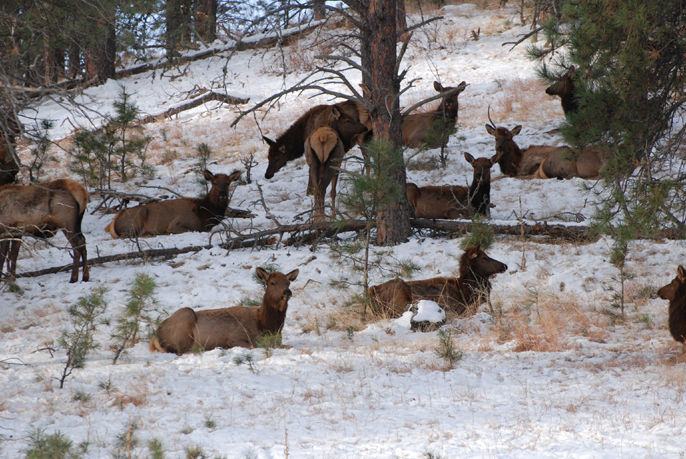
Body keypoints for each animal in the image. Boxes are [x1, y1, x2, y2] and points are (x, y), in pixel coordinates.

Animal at [106, 171, 246, 239]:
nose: (223, 193)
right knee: (126, 235)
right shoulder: (176, 224)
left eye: (228, 183)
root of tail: (113, 221)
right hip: (138, 215)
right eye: (215, 183)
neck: (204, 214)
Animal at [149, 268, 300, 354]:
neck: (266, 326)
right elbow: (254, 347)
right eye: (272, 283)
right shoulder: (235, 337)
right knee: (181, 350)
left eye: (288, 282)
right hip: (186, 316)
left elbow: (288, 346)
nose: (287, 291)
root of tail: (156, 334)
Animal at [370, 246, 510, 318]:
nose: (505, 265)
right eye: (484, 258)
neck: (465, 291)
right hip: (400, 295)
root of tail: (372, 291)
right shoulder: (452, 307)